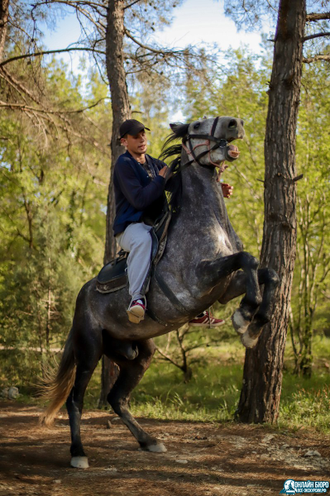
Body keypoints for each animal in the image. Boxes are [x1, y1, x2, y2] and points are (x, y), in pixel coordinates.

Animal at [41, 116, 278, 468]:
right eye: (197, 124)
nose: (234, 123)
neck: (209, 224)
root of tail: (82, 297)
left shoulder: (223, 288)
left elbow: (266, 273)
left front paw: (254, 324)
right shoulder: (200, 280)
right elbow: (247, 259)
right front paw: (245, 316)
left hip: (138, 354)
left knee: (117, 398)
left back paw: (149, 440)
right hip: (89, 351)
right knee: (75, 400)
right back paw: (78, 453)